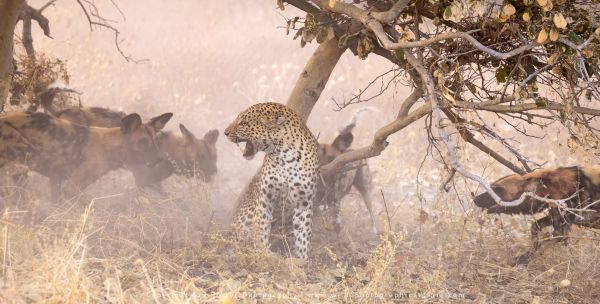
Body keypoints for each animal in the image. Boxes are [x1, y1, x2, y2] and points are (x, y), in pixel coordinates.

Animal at [0, 110, 172, 201]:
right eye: (142, 142)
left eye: (155, 140)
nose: (160, 158)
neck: (109, 146)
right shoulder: (72, 188)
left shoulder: (56, 180)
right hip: (24, 161)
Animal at [224, 102, 318, 258]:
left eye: (243, 123)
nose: (225, 132)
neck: (284, 155)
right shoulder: (266, 196)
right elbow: (262, 225)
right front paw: (263, 251)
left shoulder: (303, 201)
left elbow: (302, 234)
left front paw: (302, 259)